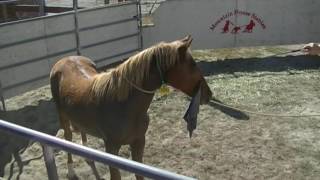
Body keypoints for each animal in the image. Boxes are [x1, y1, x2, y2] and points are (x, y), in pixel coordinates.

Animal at [50, 35, 212, 179]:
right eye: (193, 65)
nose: (208, 94)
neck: (124, 106)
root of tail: (64, 60)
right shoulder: (112, 148)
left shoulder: (139, 142)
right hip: (62, 117)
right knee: (68, 138)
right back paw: (71, 172)